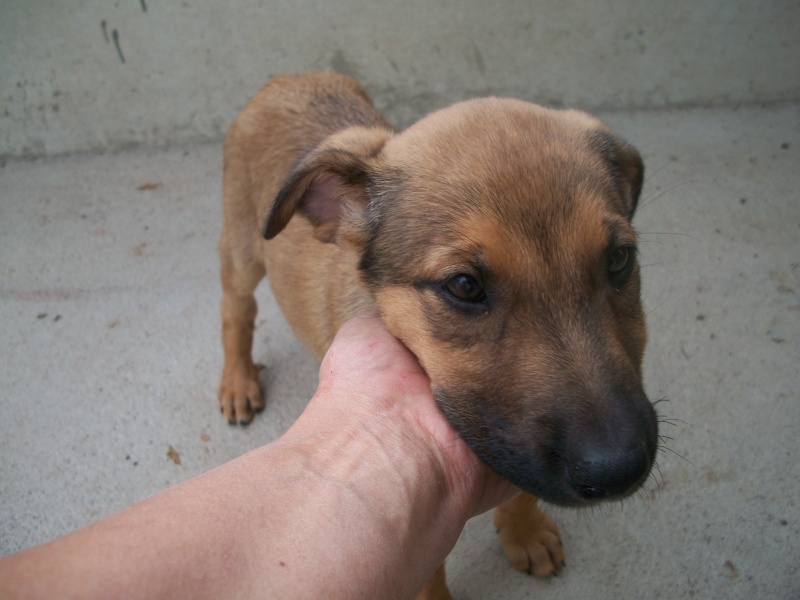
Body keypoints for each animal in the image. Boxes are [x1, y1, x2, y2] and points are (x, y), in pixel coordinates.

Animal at [217, 71, 656, 600]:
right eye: (464, 286)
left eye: (620, 259)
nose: (619, 469)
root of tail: (290, 78)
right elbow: (429, 574)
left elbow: (520, 488)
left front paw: (524, 531)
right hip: (243, 247)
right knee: (236, 310)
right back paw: (238, 382)